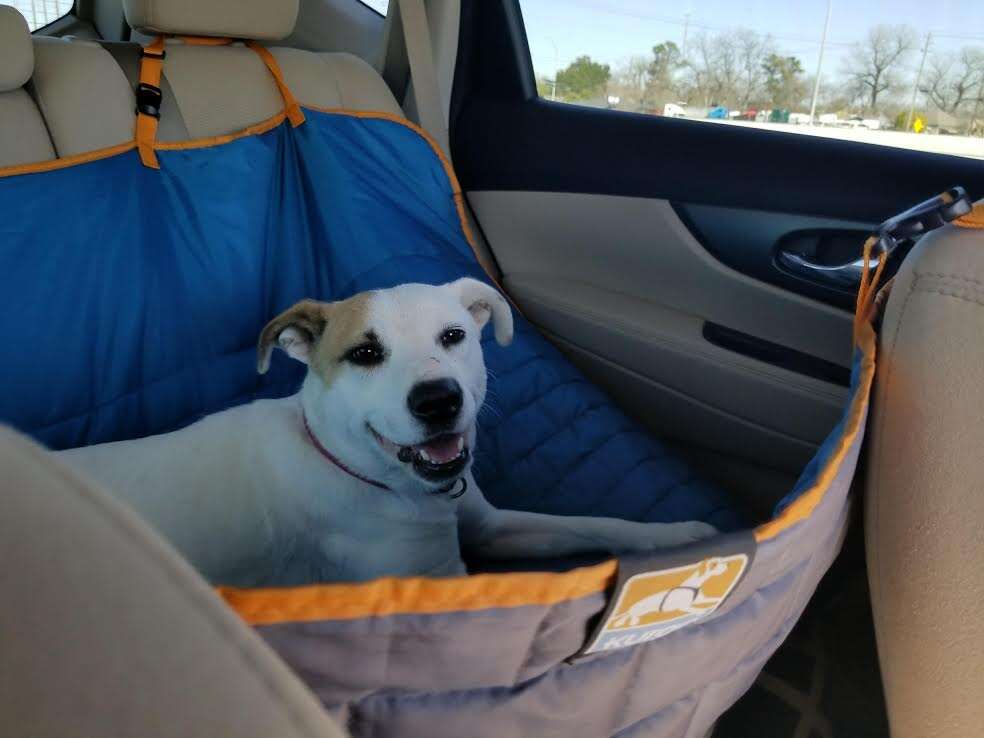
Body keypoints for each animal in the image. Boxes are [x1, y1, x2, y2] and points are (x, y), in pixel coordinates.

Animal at [59, 278, 716, 584]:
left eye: (454, 336)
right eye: (365, 353)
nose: (438, 400)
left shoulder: (491, 526)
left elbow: (594, 523)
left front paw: (679, 538)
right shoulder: (441, 582)